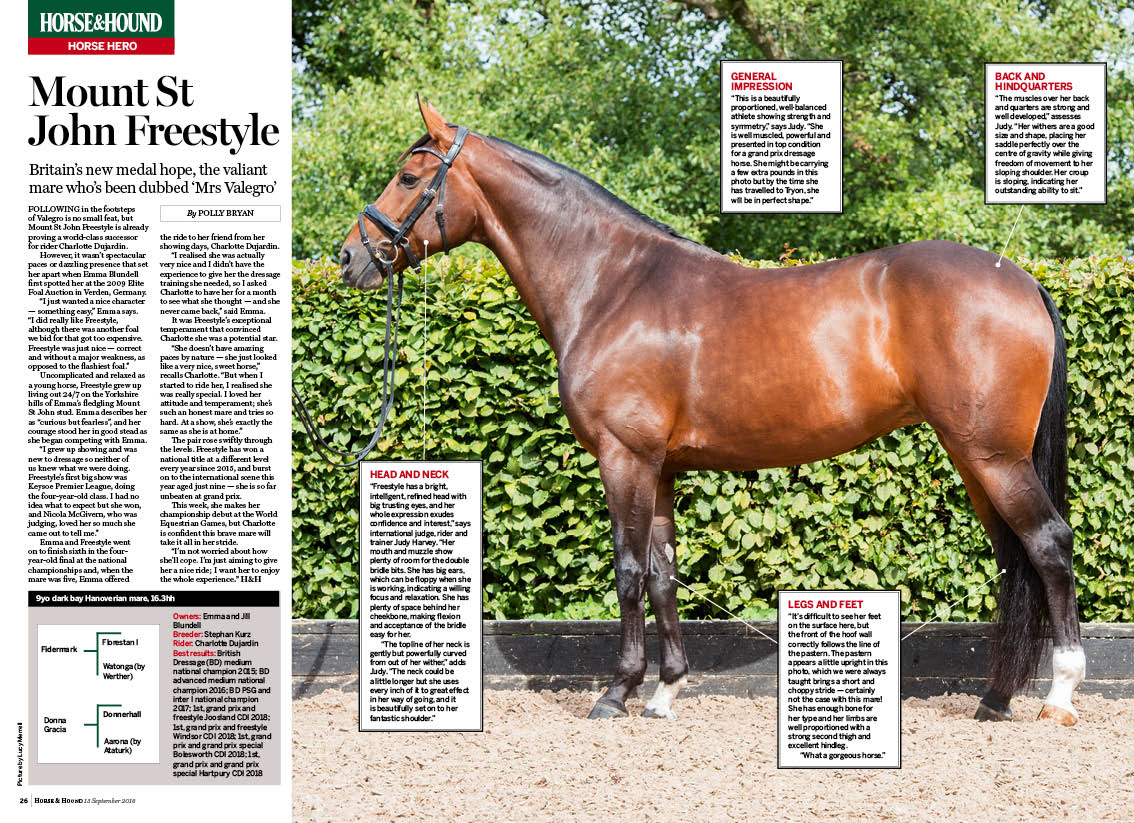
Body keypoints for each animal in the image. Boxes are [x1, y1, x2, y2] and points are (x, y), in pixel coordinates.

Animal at [337, 99, 1085, 725]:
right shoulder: (660, 466)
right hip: (974, 455)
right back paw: (995, 698)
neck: (611, 285)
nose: (350, 258)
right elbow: (664, 574)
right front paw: (665, 691)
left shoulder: (624, 457)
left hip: (994, 456)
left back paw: (1059, 693)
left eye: (408, 176)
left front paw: (616, 692)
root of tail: (1022, 281)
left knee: (1048, 544)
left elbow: (627, 571)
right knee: (1012, 558)